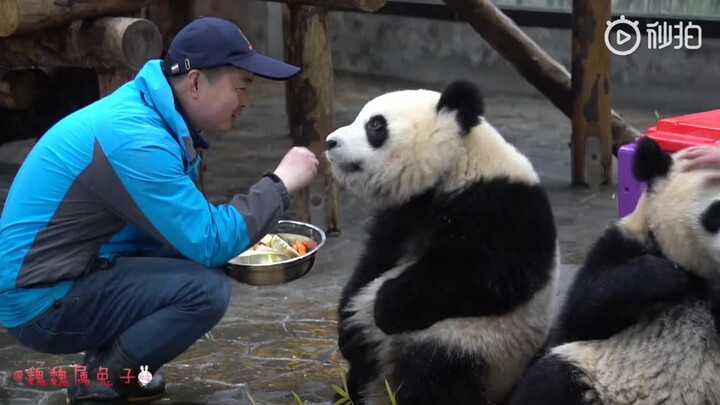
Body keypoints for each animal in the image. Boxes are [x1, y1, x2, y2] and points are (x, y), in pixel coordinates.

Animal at [324, 79, 564, 404]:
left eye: (375, 125)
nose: (330, 142)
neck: (457, 163)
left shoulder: (502, 207)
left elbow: (483, 275)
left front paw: (385, 304)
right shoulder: (405, 211)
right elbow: (375, 259)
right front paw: (347, 325)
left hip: (475, 342)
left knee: (437, 376)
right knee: (363, 368)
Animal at [510, 136, 720, 404]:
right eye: (716, 212)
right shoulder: (624, 243)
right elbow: (584, 311)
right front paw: (666, 276)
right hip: (597, 371)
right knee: (550, 378)